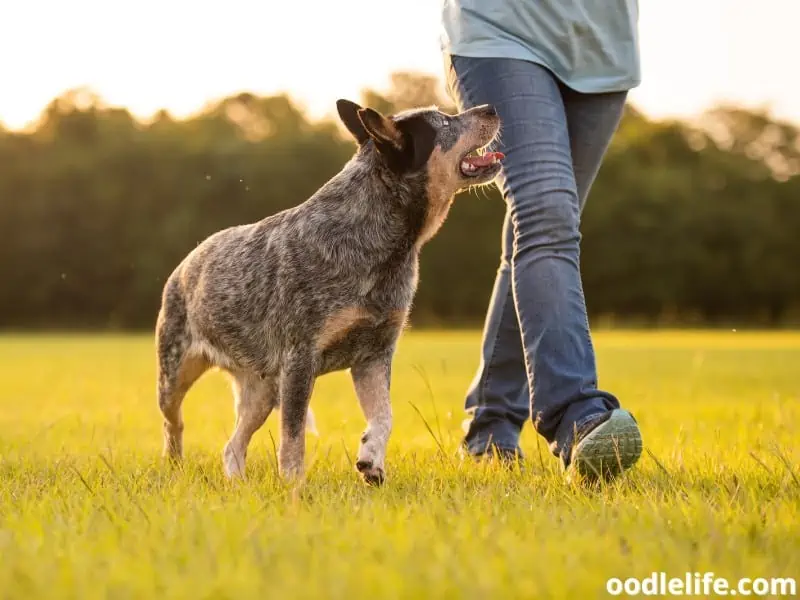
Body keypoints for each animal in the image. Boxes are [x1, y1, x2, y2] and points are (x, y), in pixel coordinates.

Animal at [155, 97, 504, 482]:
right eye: (443, 122)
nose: (490, 107)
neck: (377, 241)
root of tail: (188, 260)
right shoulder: (300, 358)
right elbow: (292, 438)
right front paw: (294, 487)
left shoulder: (374, 355)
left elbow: (385, 416)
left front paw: (371, 460)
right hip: (174, 373)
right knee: (174, 423)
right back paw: (174, 465)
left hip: (263, 389)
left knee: (232, 445)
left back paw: (237, 485)